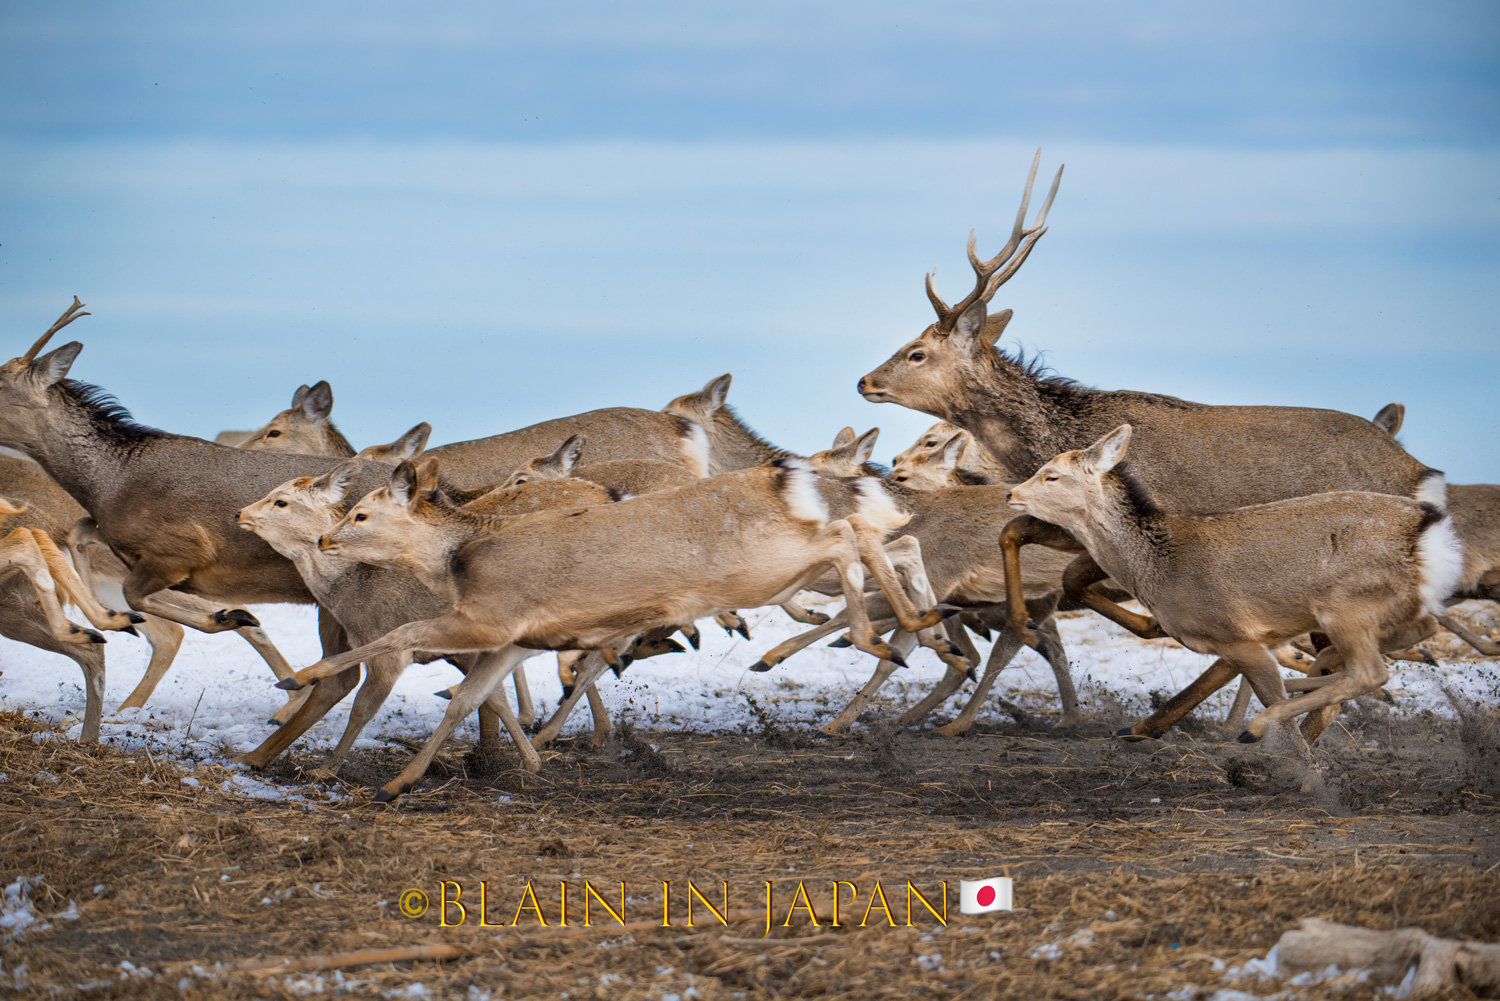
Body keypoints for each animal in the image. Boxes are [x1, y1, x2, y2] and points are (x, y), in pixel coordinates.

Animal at [858, 148, 1452, 729]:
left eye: (916, 352)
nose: (865, 380)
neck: (1053, 438)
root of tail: (1422, 474)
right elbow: (1017, 535)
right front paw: (1025, 622)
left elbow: (1075, 581)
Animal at [1002, 423, 1458, 759]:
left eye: (1051, 474)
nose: (1010, 493)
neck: (1160, 570)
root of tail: (1433, 531)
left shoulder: (1237, 634)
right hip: (1389, 608)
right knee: (1416, 635)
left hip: (1344, 605)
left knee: (1369, 670)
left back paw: (1259, 726)